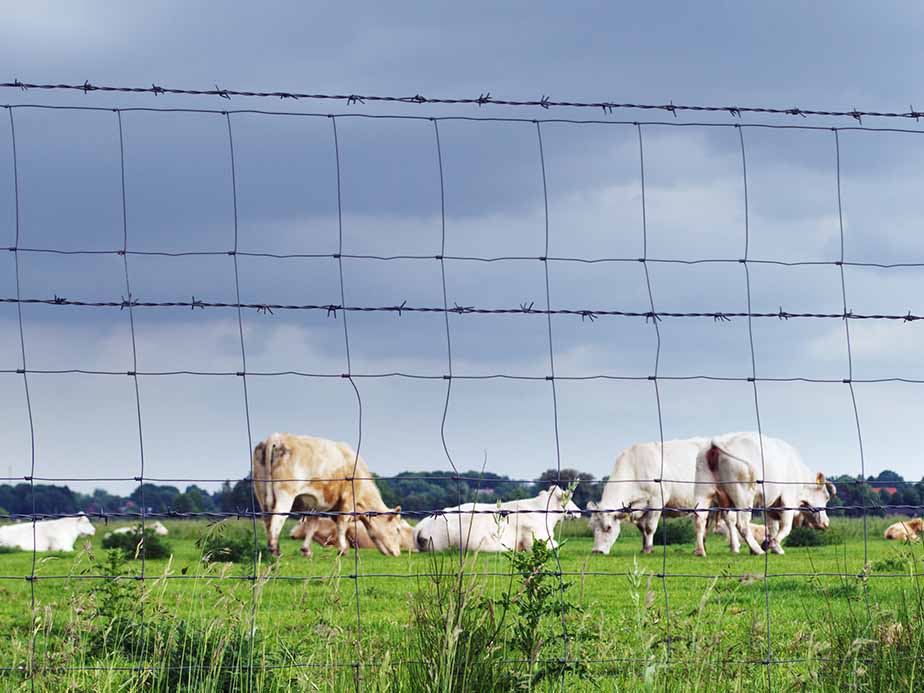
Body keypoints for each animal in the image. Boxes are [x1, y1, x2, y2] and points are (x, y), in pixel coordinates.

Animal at [252, 433, 403, 558]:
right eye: (397, 529)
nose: (397, 553)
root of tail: (276, 437)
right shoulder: (348, 498)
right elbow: (342, 524)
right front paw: (342, 550)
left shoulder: (315, 504)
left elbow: (312, 526)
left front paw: (306, 551)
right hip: (285, 494)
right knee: (277, 519)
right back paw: (275, 551)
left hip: (261, 492)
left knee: (267, 519)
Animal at [692, 432, 836, 557]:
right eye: (826, 497)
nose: (826, 523)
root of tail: (718, 442)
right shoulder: (787, 500)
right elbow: (786, 527)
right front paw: (773, 545)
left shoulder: (770, 505)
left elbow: (772, 527)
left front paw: (774, 547)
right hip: (744, 497)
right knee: (742, 524)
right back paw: (756, 550)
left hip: (703, 492)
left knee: (700, 518)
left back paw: (700, 551)